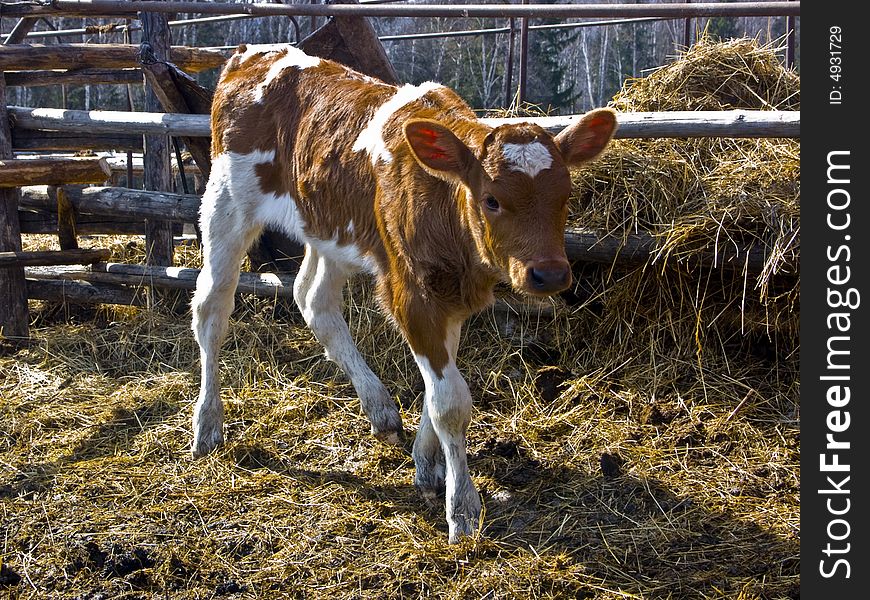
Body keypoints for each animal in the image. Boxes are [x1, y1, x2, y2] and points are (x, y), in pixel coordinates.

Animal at [192, 44, 620, 540]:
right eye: (491, 199)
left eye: (566, 195)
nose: (549, 275)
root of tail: (255, 53)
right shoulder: (411, 293)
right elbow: (451, 402)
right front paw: (463, 508)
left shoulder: (451, 297)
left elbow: (440, 387)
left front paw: (427, 463)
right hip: (225, 203)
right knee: (212, 309)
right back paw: (207, 424)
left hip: (328, 226)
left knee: (313, 299)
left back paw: (379, 408)